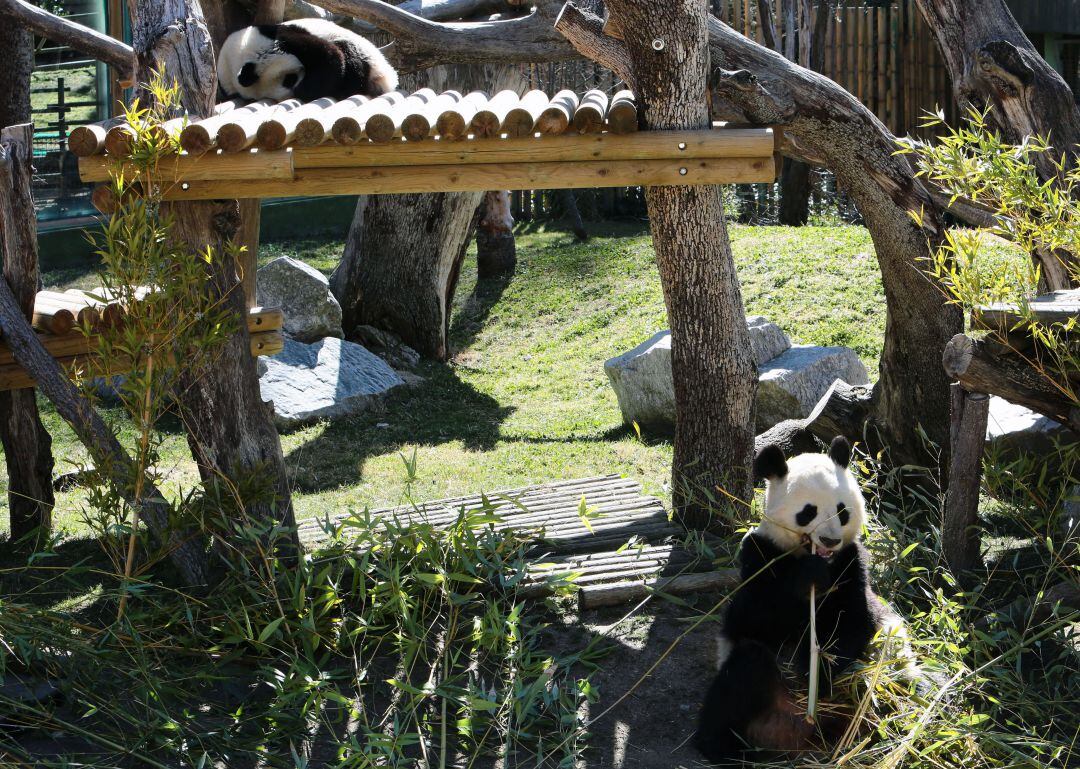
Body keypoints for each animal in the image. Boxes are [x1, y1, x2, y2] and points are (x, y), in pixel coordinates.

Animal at [216, 18, 398, 102]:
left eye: (289, 80)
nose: (295, 91)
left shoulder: (282, 38)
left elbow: (330, 57)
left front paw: (306, 90)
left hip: (364, 54)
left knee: (351, 59)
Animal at [695, 436, 911, 766]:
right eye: (809, 511)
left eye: (842, 510)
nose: (830, 540)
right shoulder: (758, 554)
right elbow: (755, 615)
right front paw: (806, 578)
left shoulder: (852, 564)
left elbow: (852, 621)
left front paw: (815, 671)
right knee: (746, 668)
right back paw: (720, 747)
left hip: (882, 672)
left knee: (891, 689)